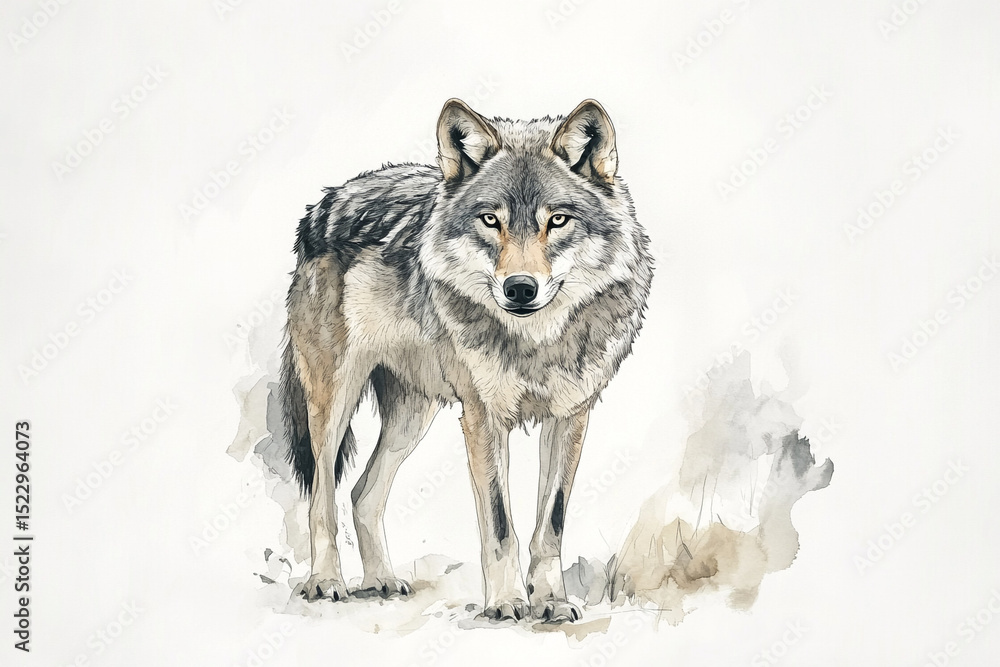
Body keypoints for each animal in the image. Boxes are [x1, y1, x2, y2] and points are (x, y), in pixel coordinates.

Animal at [280, 98, 653, 622]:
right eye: (490, 220)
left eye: (558, 220)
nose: (520, 288)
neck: (535, 341)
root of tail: (323, 205)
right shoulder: (482, 417)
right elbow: (499, 524)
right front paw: (507, 602)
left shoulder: (571, 417)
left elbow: (551, 523)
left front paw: (551, 602)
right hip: (334, 404)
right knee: (322, 497)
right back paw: (326, 581)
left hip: (413, 416)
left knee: (362, 494)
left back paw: (380, 581)